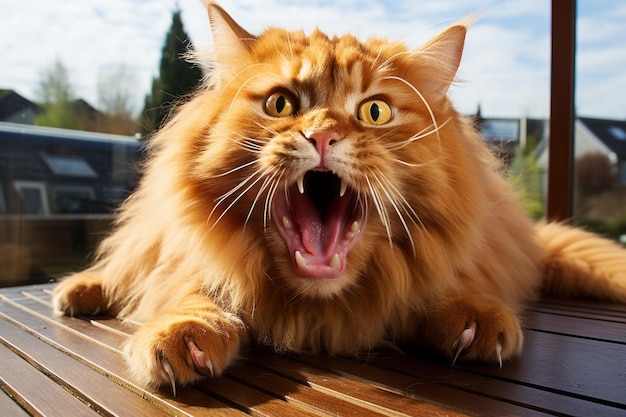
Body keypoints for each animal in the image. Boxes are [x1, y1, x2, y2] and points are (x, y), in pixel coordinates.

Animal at [52, 0, 624, 390]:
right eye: (281, 104)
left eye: (375, 111)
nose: (323, 135)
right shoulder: (189, 260)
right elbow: (194, 291)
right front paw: (185, 330)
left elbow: (448, 284)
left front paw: (472, 318)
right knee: (125, 264)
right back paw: (80, 290)